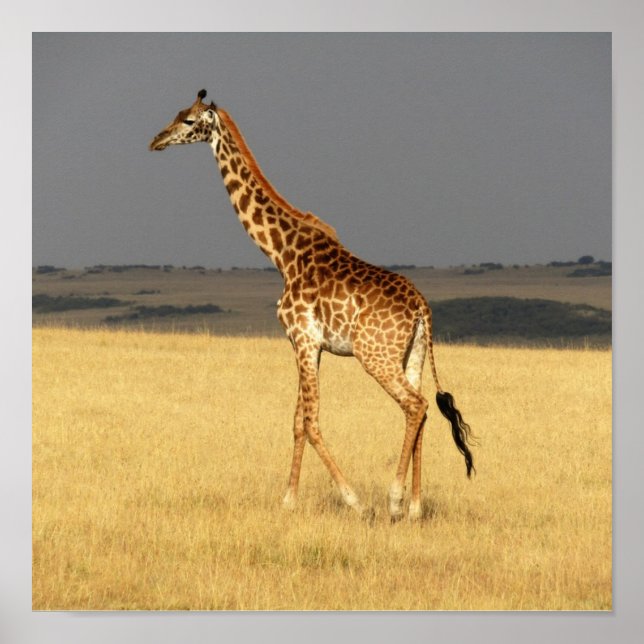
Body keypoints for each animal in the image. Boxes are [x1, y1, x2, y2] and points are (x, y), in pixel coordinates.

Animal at [149, 89, 475, 521]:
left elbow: (311, 419)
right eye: (176, 114)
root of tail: (422, 309)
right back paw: (415, 508)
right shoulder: (305, 344)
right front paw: (288, 500)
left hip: (376, 355)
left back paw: (392, 501)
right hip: (413, 355)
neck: (282, 253)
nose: (156, 141)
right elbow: (297, 421)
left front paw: (353, 500)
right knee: (420, 412)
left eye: (188, 121)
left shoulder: (303, 338)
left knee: (415, 405)